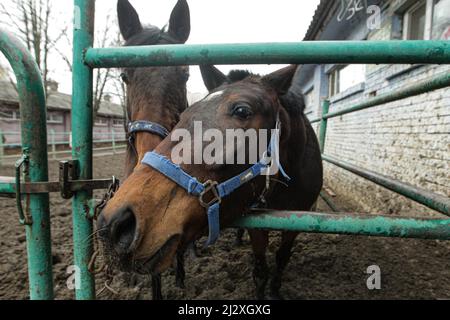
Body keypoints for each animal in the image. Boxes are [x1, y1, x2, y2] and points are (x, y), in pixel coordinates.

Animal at [98, 63, 324, 298]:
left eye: (242, 110)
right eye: (185, 114)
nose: (116, 223)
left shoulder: (298, 221)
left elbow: (281, 259)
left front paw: (275, 290)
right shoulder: (258, 224)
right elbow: (261, 271)